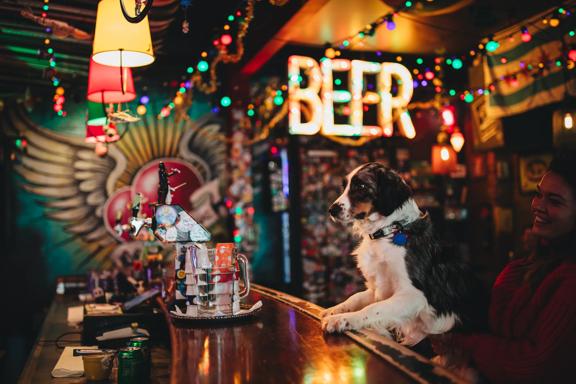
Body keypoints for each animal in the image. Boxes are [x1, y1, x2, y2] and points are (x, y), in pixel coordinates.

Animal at [322, 160, 488, 346]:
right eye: (344, 186)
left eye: (361, 186)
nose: (331, 210)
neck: (389, 230)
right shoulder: (377, 288)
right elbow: (355, 297)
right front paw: (333, 310)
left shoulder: (414, 295)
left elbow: (374, 308)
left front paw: (343, 319)